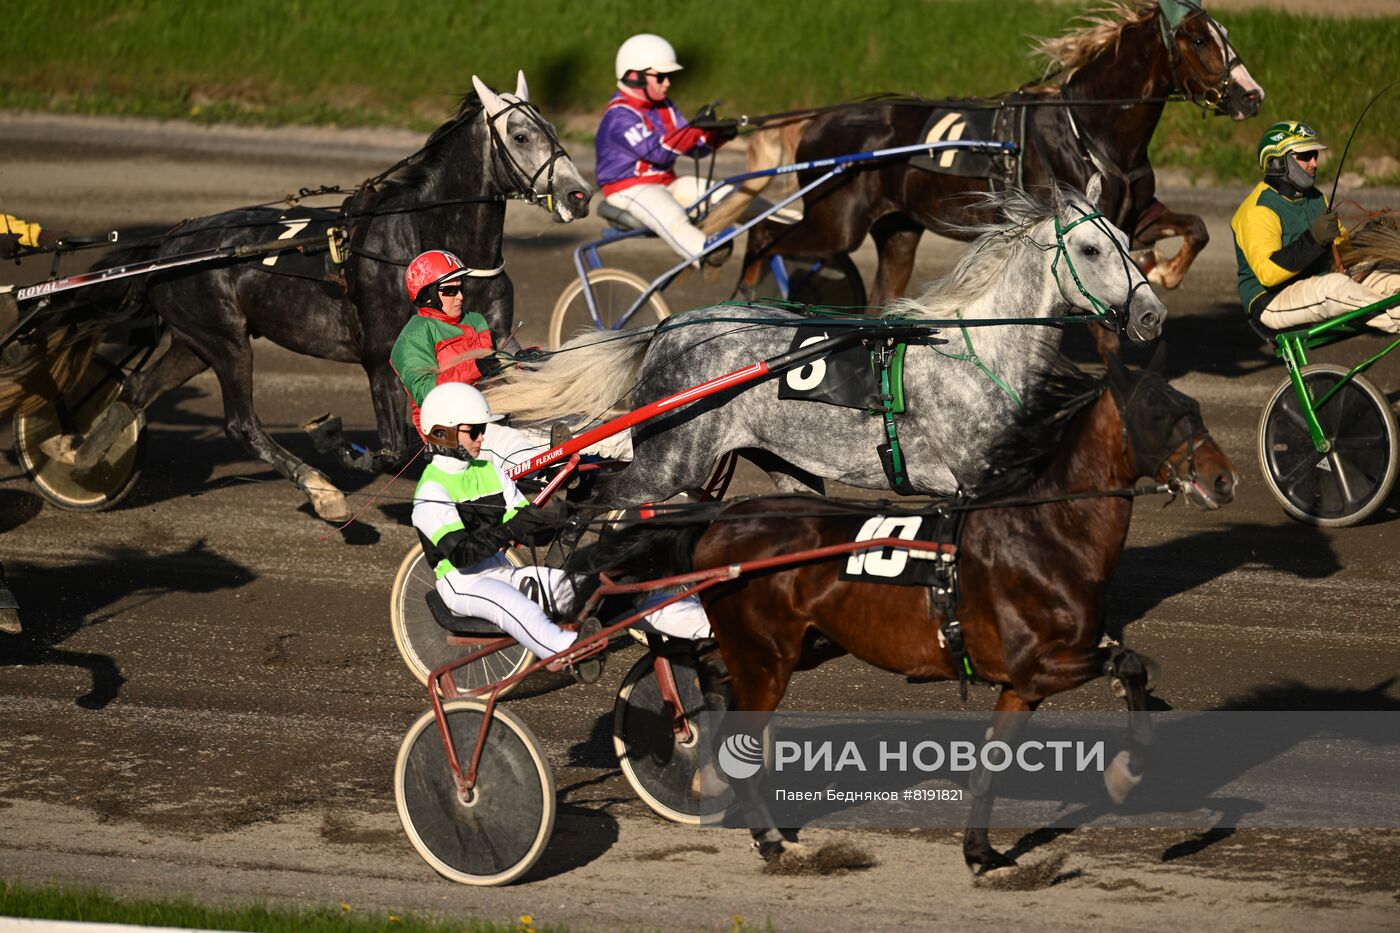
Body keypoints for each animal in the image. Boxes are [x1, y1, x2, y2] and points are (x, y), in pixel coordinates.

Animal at [54, 74, 588, 515]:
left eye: (552, 128)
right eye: (520, 135)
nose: (578, 194)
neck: (434, 245)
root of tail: (169, 244)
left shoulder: (493, 348)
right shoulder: (382, 358)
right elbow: (394, 449)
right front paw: (342, 446)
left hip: (194, 342)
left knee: (137, 390)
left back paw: (77, 457)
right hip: (226, 342)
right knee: (241, 424)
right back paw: (320, 488)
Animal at [487, 177, 1164, 504]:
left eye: (1128, 241)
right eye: (1091, 248)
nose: (1153, 315)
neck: (973, 355)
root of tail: (667, 330)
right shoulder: (972, 481)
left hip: (785, 466)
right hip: (668, 464)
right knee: (593, 497)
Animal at [585, 348, 1243, 874]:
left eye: (1195, 406)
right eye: (1163, 413)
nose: (1225, 480)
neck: (1044, 533)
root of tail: (721, 519)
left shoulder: (1021, 684)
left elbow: (995, 761)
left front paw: (981, 853)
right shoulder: (1039, 665)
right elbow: (1129, 662)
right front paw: (1126, 773)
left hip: (797, 645)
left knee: (712, 669)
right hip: (767, 658)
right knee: (732, 715)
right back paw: (768, 836)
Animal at [716, 0, 1265, 305]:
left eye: (1224, 34)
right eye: (1198, 39)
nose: (1251, 95)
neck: (1092, 126)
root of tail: (819, 120)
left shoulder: (1133, 213)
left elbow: (1197, 227)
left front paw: (1163, 268)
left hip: (897, 230)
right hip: (837, 222)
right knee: (763, 235)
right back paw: (745, 293)